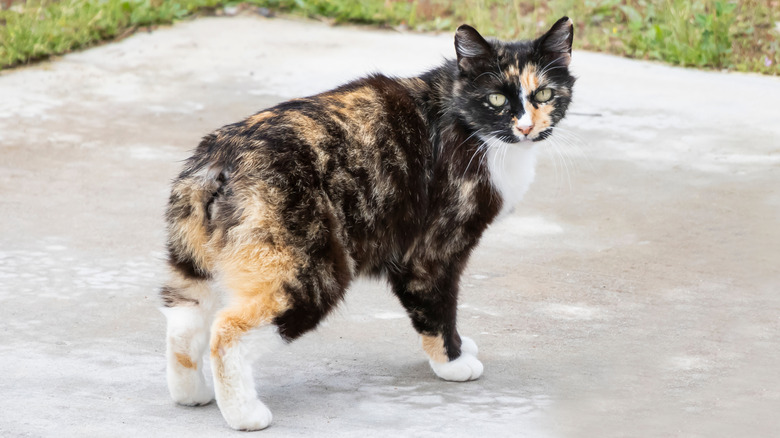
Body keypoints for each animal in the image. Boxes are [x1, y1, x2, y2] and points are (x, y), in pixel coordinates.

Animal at [160, 18, 572, 432]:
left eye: (545, 94)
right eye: (497, 99)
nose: (526, 127)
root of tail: (218, 160)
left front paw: (458, 348)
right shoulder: (431, 252)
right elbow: (438, 308)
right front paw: (452, 361)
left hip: (193, 264)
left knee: (183, 324)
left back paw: (191, 394)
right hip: (312, 272)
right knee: (227, 332)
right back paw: (245, 415)